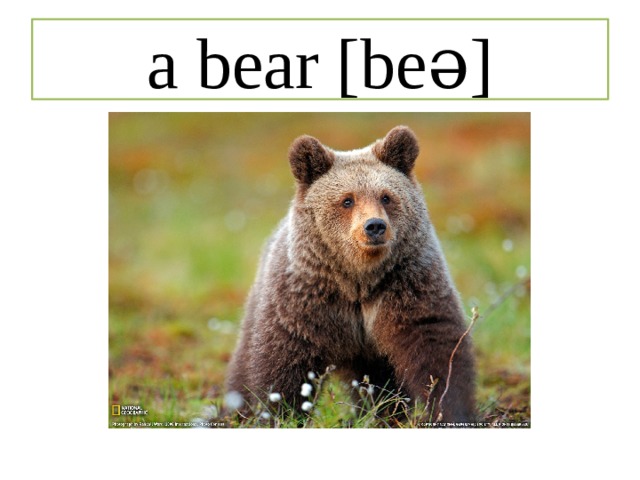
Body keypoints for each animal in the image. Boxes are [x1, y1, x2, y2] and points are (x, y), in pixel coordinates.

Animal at [225, 126, 476, 423]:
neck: (358, 280)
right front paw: (282, 414)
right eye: (347, 200)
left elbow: (435, 345)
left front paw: (450, 409)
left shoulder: (408, 285)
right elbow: (284, 360)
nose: (375, 226)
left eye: (386, 196)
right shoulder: (304, 300)